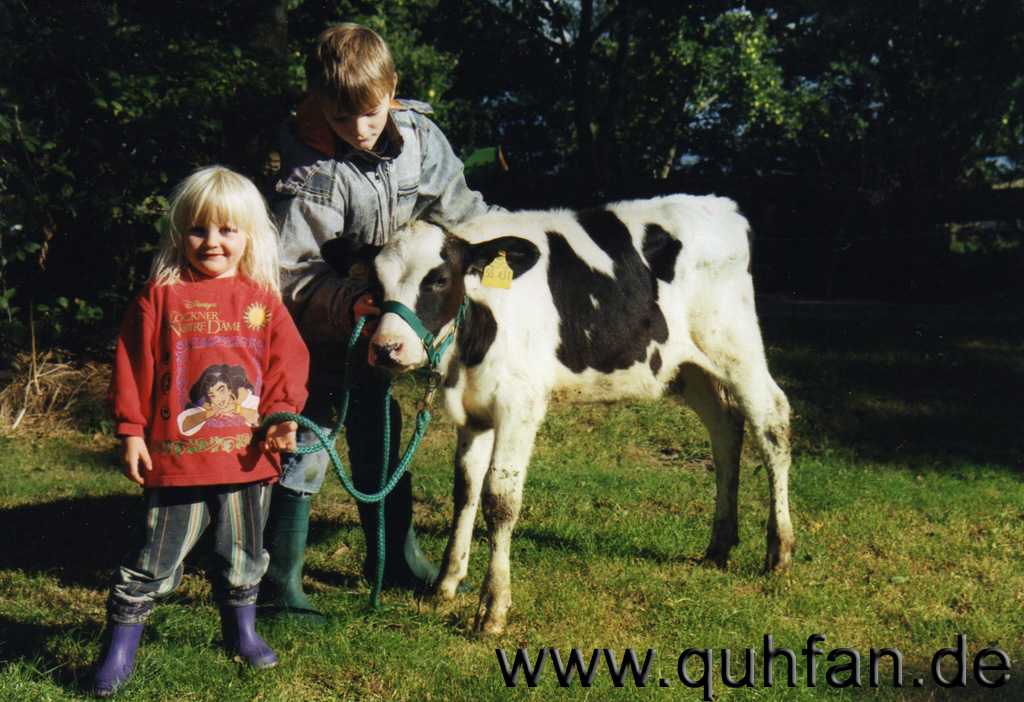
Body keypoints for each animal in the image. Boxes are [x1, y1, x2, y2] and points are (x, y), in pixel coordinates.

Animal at [366, 195, 790, 634]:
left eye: (439, 279)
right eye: (376, 284)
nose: (386, 347)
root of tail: (719, 205)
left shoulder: (519, 404)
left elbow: (499, 500)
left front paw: (493, 608)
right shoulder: (473, 411)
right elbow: (465, 490)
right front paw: (446, 583)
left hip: (736, 346)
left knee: (772, 421)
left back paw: (779, 549)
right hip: (691, 367)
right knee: (725, 431)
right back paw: (718, 546)